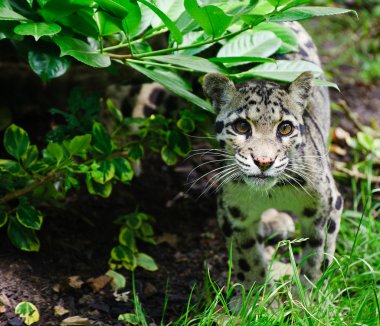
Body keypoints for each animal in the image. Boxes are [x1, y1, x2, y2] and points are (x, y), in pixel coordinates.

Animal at [203, 22, 342, 292]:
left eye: (285, 128)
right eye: (242, 127)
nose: (264, 162)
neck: (274, 191)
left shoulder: (328, 205)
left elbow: (318, 256)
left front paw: (307, 296)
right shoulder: (232, 214)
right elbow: (248, 259)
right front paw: (253, 296)